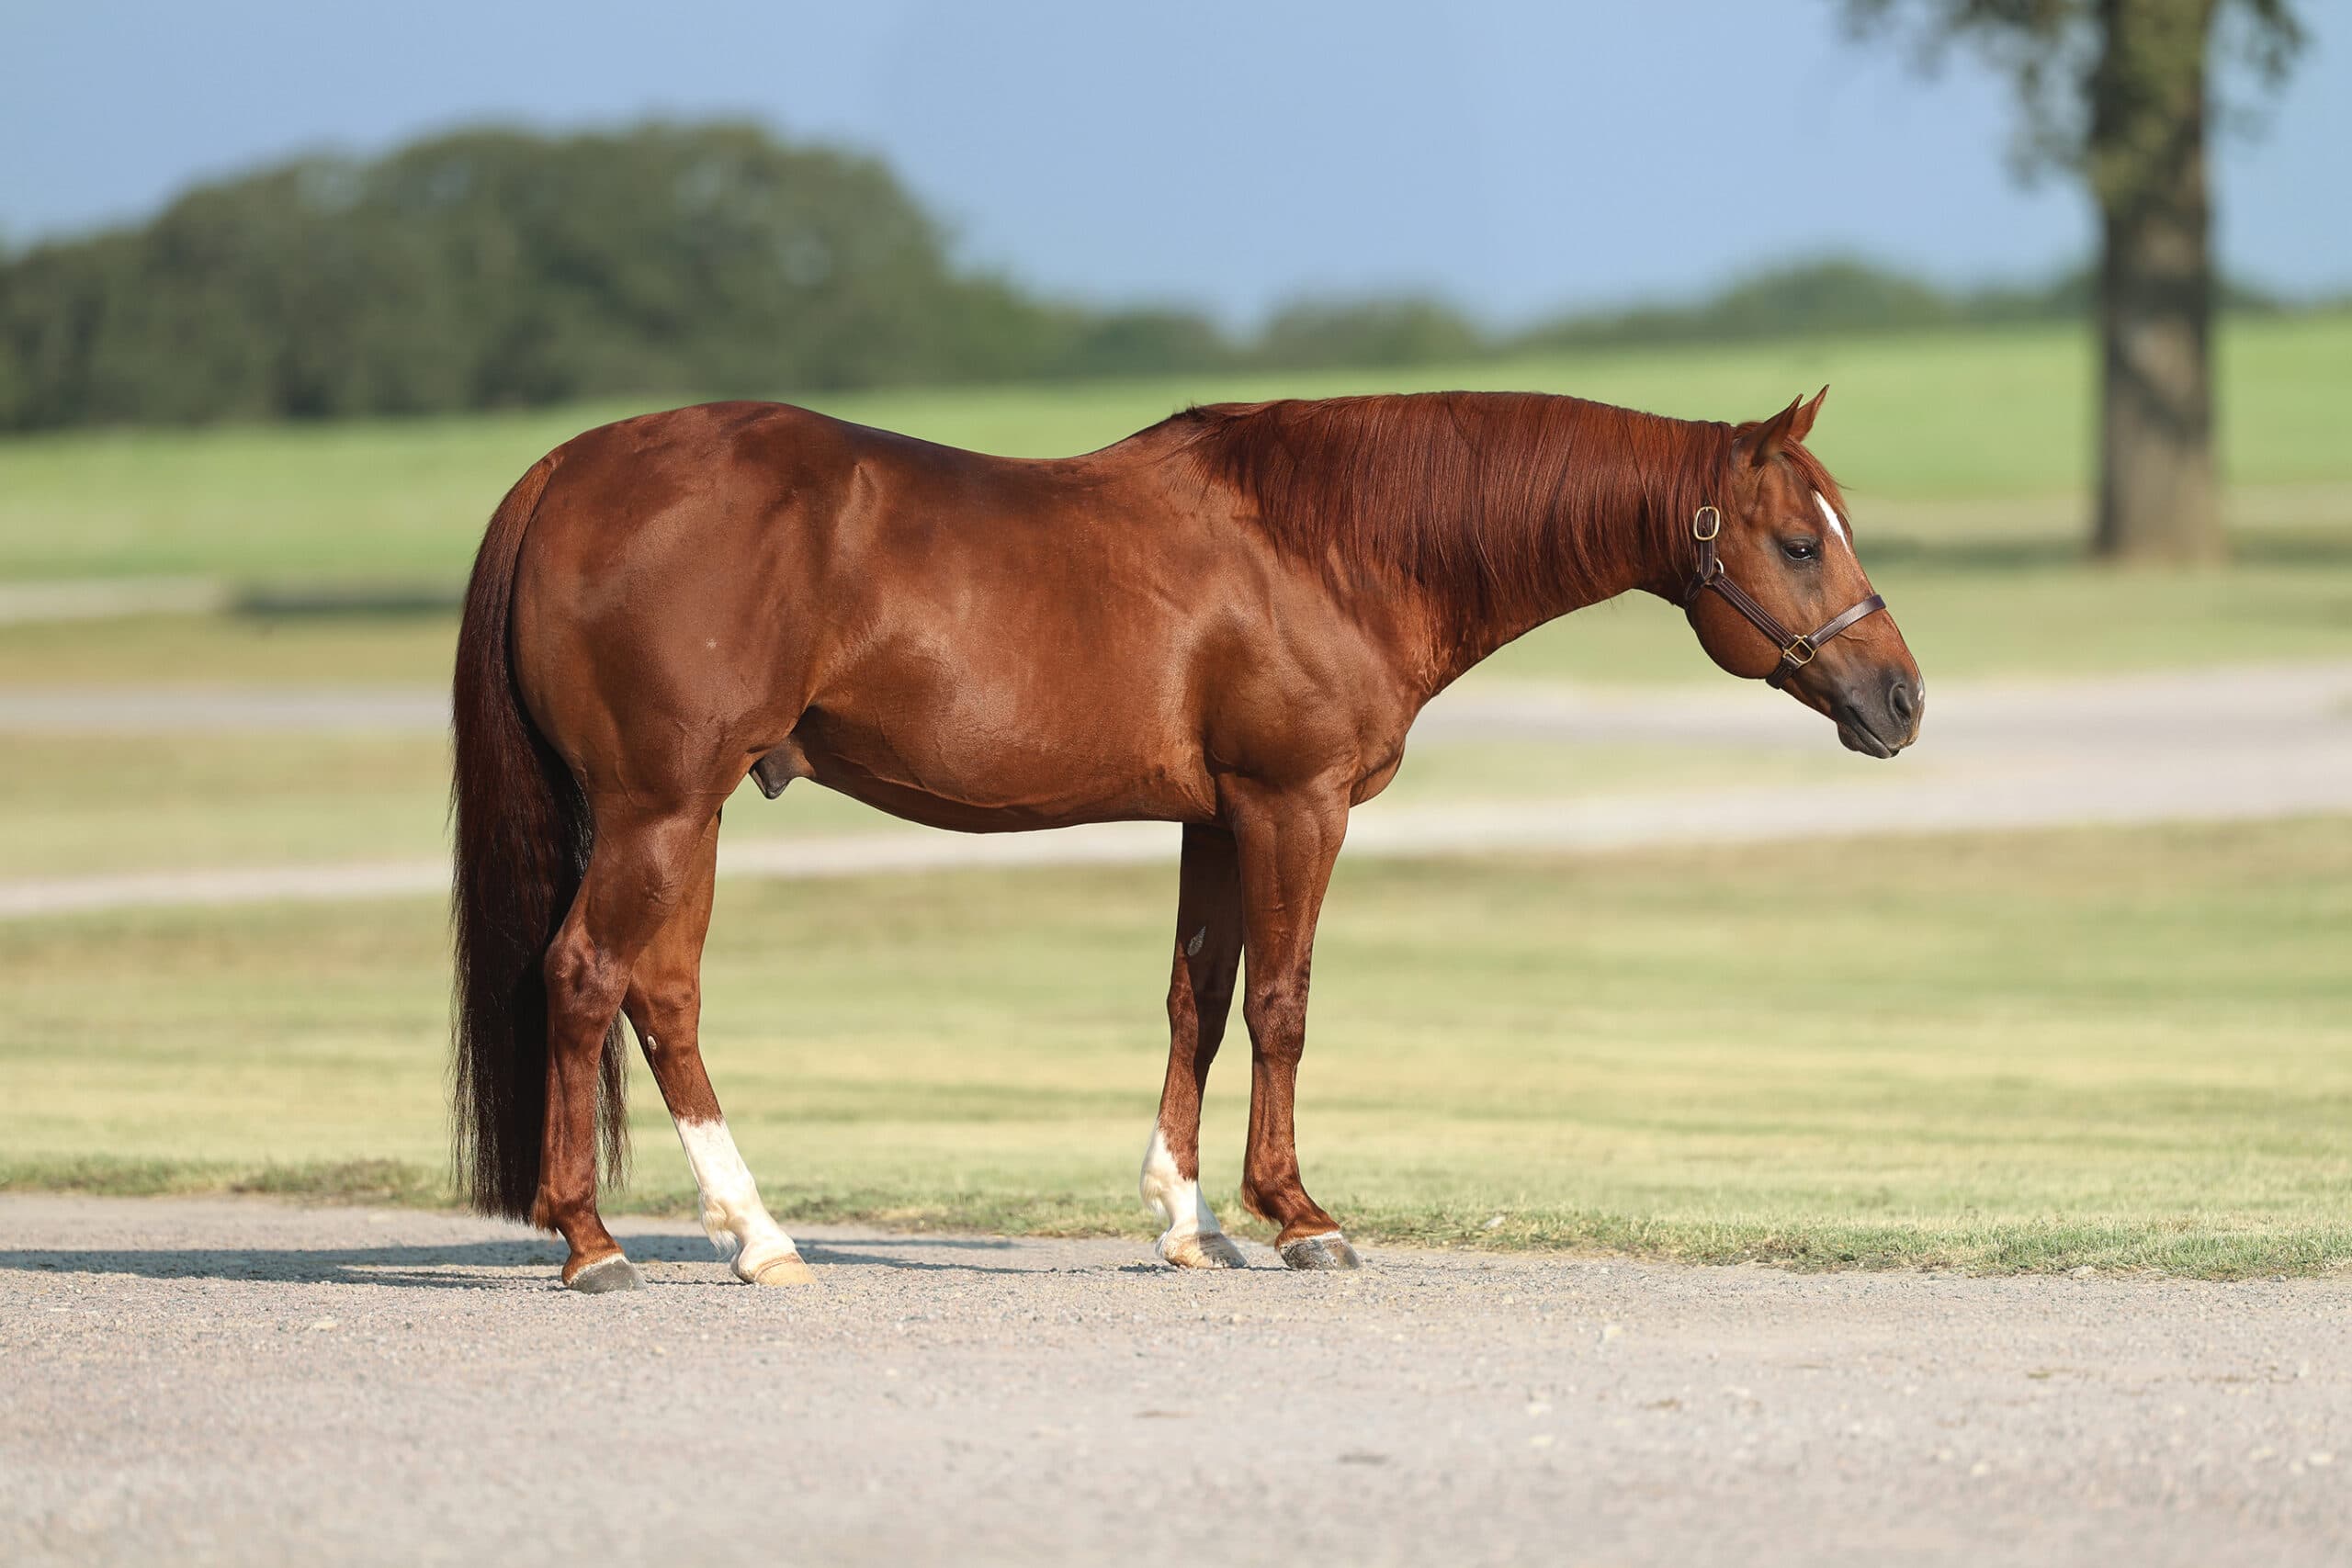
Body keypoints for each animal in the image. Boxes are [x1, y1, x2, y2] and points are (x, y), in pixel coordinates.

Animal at [450, 384, 1922, 1292]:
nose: (1901, 699)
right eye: (1799, 543)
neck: (1328, 545)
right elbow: (1281, 1007)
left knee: (663, 996)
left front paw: (1188, 1217)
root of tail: (567, 468)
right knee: (587, 977)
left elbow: (1196, 1005)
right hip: (658, 809)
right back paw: (594, 1241)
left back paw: (756, 1234)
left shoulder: (1214, 823)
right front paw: (1301, 1217)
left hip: (684, 817)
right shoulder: (1291, 805)